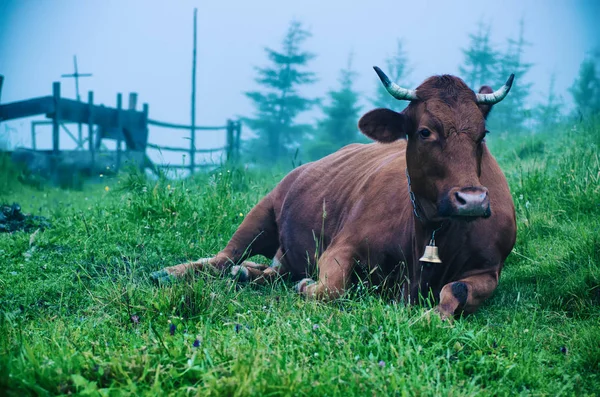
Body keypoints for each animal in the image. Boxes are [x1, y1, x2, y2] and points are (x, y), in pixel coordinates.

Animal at [152, 65, 516, 318]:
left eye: (482, 133)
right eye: (426, 131)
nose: (472, 201)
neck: (433, 235)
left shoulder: (488, 270)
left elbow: (457, 290)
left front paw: (435, 315)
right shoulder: (342, 246)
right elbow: (330, 290)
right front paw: (306, 288)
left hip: (285, 253)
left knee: (266, 271)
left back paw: (247, 273)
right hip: (261, 212)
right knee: (221, 259)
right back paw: (170, 273)